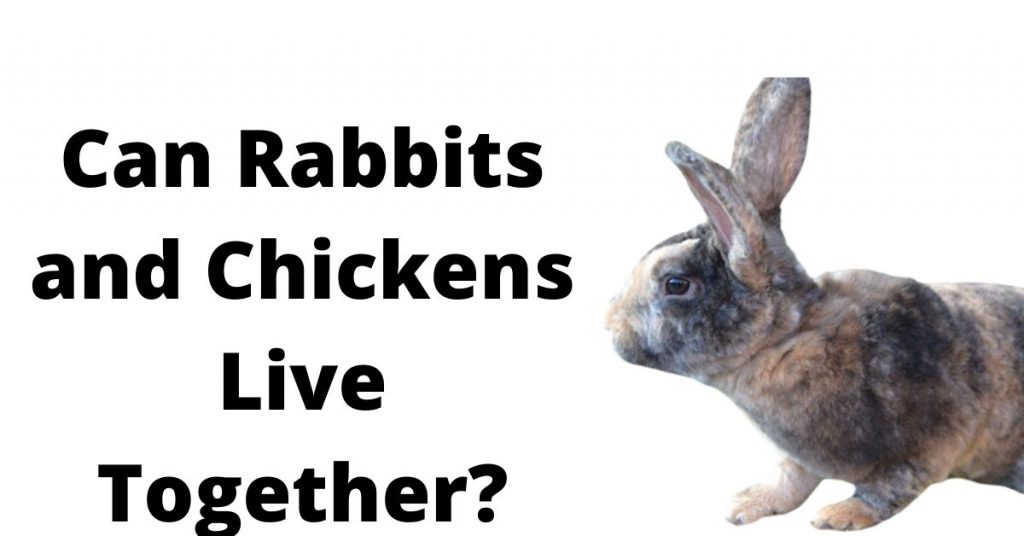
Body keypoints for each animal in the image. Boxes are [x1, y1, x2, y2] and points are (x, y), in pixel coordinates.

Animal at [605, 78, 1024, 530]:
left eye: (676, 284)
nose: (609, 324)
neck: (785, 341)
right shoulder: (797, 458)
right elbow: (790, 478)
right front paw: (747, 504)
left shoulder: (929, 443)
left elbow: (889, 488)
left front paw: (838, 515)